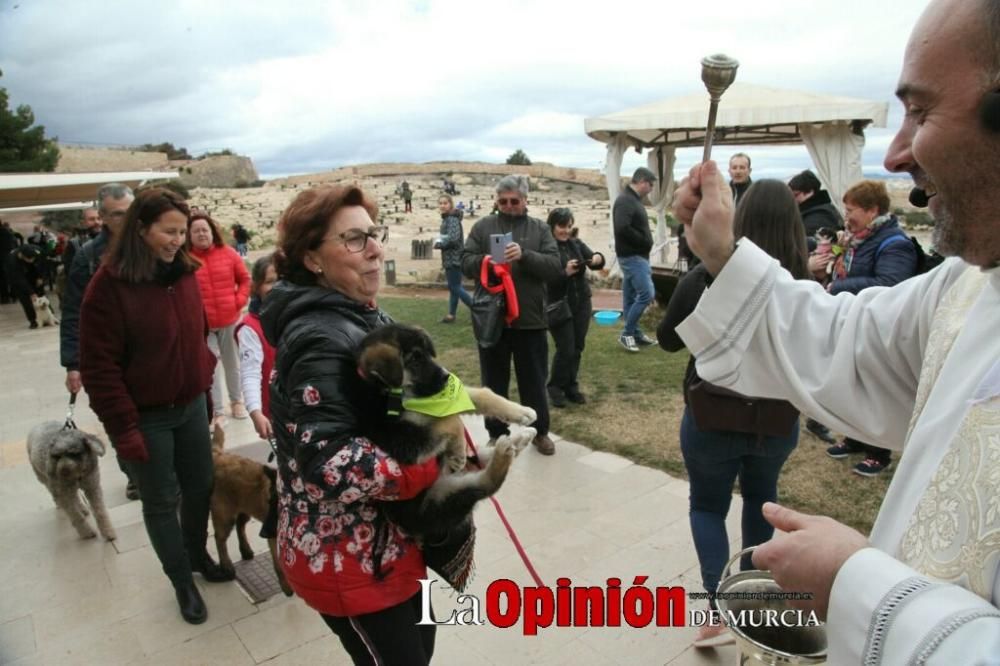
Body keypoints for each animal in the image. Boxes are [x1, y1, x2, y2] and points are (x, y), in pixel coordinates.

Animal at [356, 322, 536, 540]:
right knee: (486, 485)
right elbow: (449, 420)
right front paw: (457, 450)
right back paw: (503, 453)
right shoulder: (403, 440)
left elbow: (481, 395)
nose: (446, 377)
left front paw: (522, 411)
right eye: (414, 359)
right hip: (440, 502)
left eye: (427, 353)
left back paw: (521, 438)